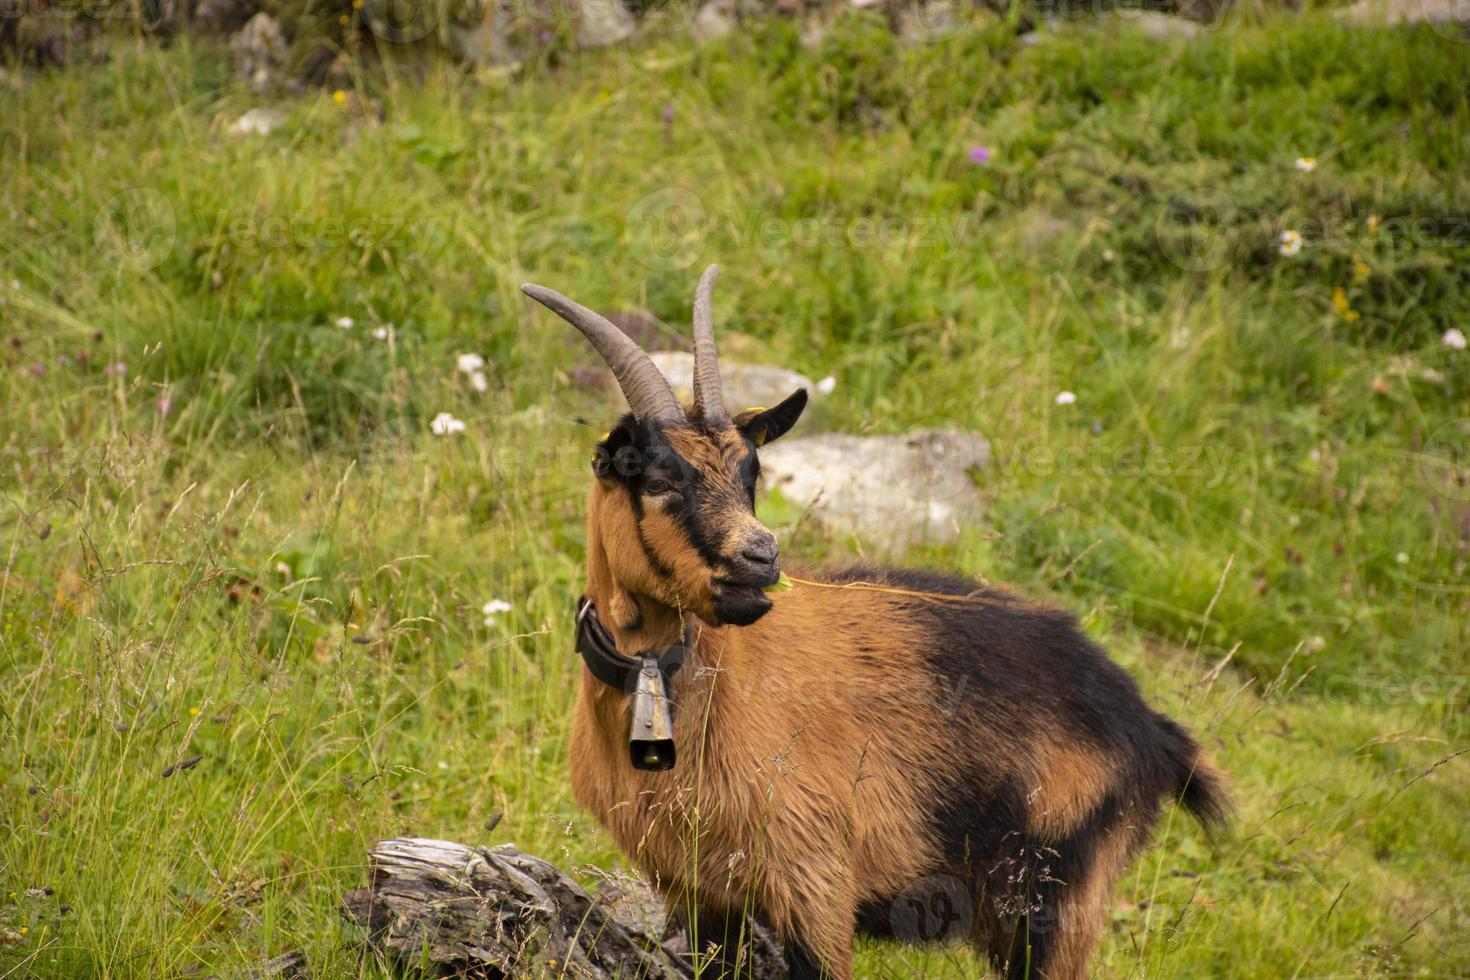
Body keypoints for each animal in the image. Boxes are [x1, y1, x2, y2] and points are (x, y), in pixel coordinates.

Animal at [520, 268, 1228, 980]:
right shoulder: (698, 891)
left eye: (752, 473)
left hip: (1057, 898)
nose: (761, 557)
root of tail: (1149, 728)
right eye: (659, 479)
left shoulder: (815, 882)